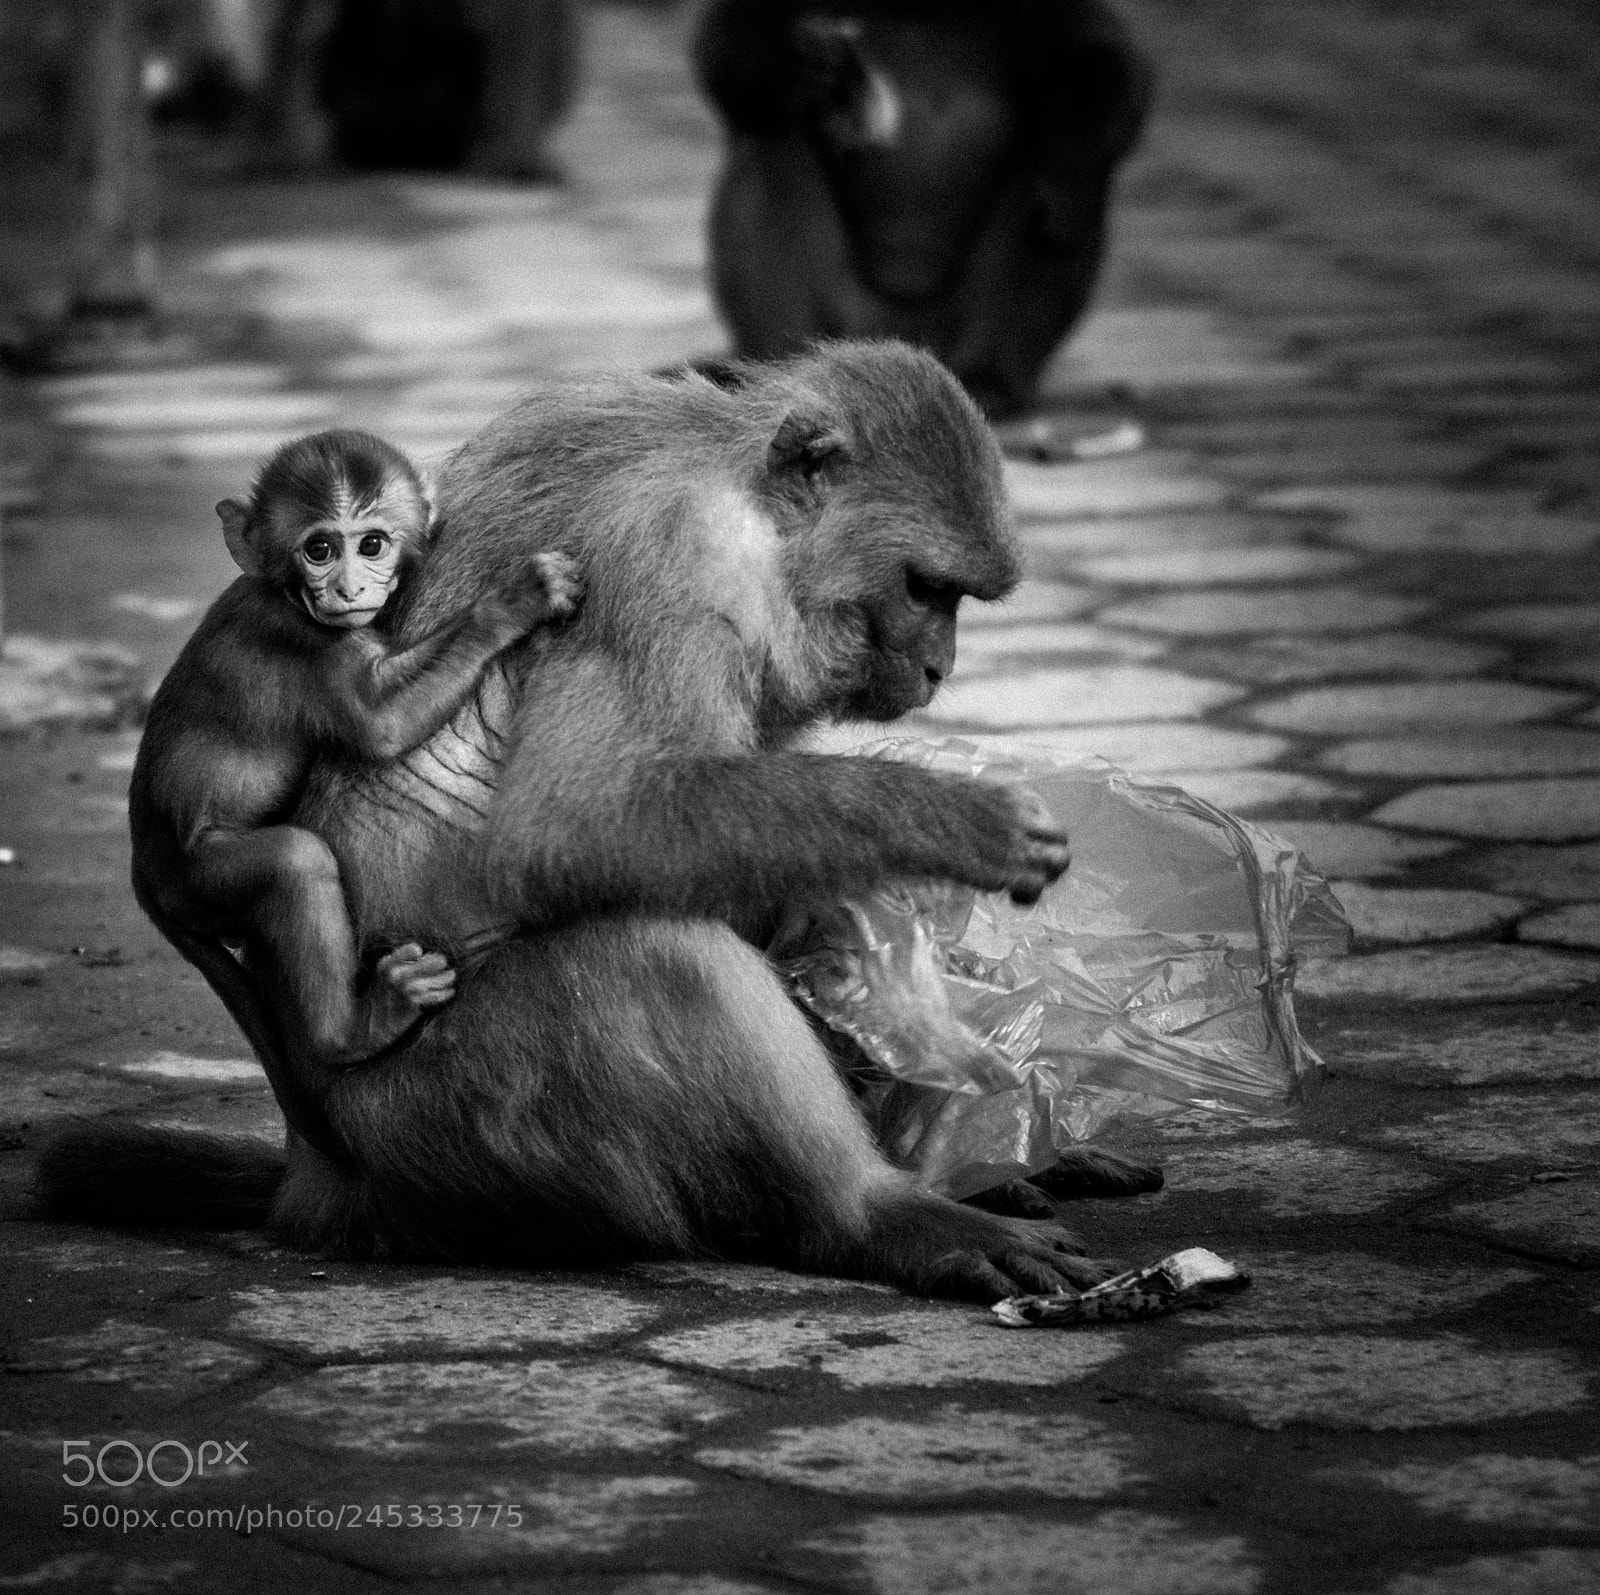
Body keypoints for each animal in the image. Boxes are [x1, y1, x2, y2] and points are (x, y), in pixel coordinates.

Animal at [125, 428, 582, 1155]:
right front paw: (517, 598)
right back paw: (354, 1028)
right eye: (319, 549)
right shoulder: (305, 643)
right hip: (199, 878)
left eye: (371, 543)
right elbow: (381, 722)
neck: (283, 593)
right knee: (294, 861)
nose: (347, 585)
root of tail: (144, 869)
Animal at [693, 0, 1154, 420]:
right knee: (775, 145)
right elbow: (728, 38)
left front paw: (1069, 171)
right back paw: (783, 370)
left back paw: (990, 380)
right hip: (849, 310)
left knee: (1045, 192)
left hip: (949, 326)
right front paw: (797, 66)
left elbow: (1096, 54)